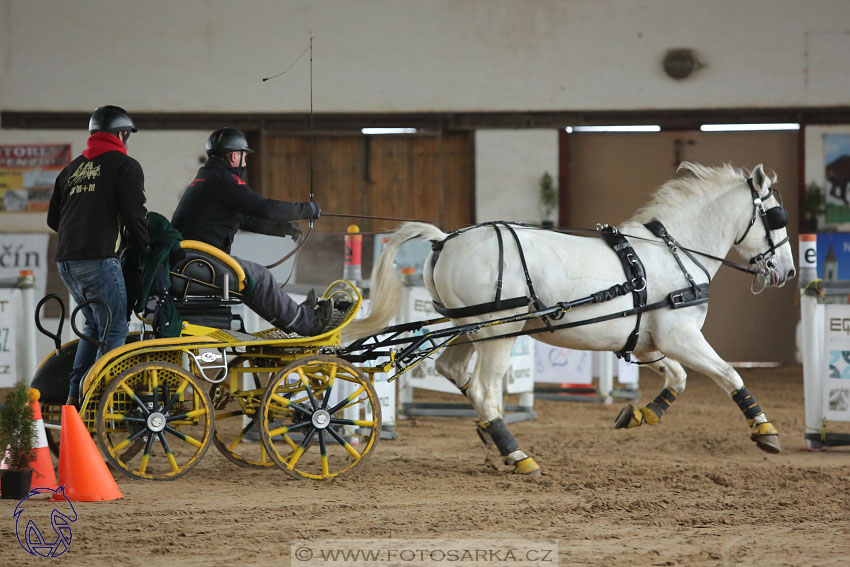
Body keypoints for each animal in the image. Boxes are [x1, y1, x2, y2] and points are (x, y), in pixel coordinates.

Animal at [344, 164, 796, 474]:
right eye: (777, 217)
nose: (789, 271)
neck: (674, 253)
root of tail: (443, 239)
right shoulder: (680, 335)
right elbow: (729, 374)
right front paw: (765, 430)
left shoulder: (649, 341)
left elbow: (678, 377)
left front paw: (640, 414)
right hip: (499, 330)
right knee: (486, 389)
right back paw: (518, 454)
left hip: (464, 328)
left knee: (453, 371)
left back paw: (492, 435)